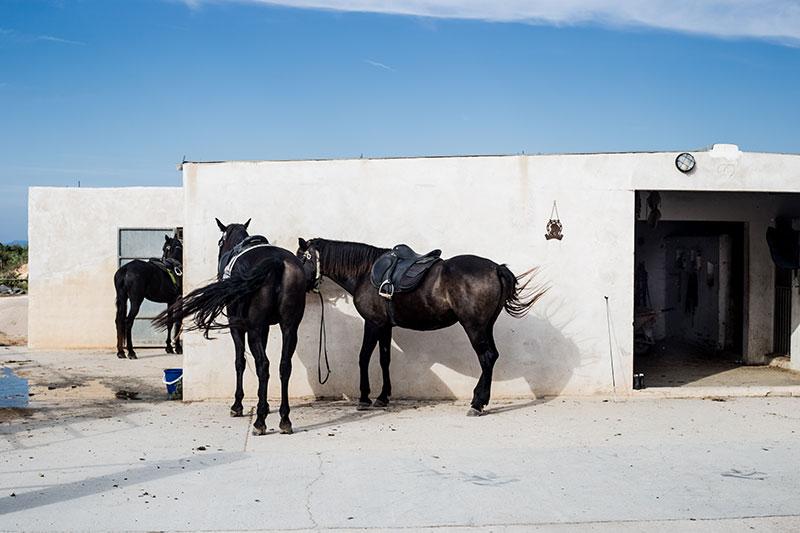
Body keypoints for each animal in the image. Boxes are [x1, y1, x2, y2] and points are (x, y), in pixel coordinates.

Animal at [154, 219, 307, 435]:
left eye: (220, 242)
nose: (165, 262)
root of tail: (277, 262)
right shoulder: (266, 328)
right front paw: (265, 404)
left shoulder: (239, 327)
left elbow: (239, 361)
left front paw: (238, 405)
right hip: (289, 328)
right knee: (284, 366)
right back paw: (284, 418)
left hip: (253, 329)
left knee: (263, 365)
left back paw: (259, 421)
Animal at [296, 238, 546, 416]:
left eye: (301, 258)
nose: (300, 285)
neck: (364, 272)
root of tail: (496, 268)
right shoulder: (385, 325)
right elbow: (384, 359)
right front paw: (383, 397)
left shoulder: (373, 323)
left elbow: (364, 356)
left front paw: (364, 398)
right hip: (486, 326)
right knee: (491, 357)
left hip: (474, 326)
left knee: (486, 357)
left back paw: (477, 403)